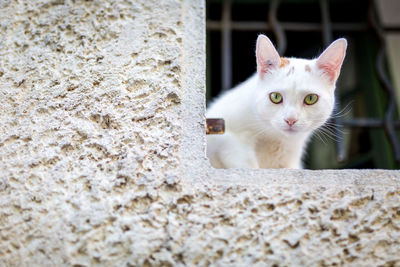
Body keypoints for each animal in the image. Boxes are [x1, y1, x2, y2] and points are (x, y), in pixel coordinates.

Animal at [206, 34, 346, 170]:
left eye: (311, 98)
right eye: (276, 97)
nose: (291, 120)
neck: (275, 138)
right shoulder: (225, 134)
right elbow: (243, 159)